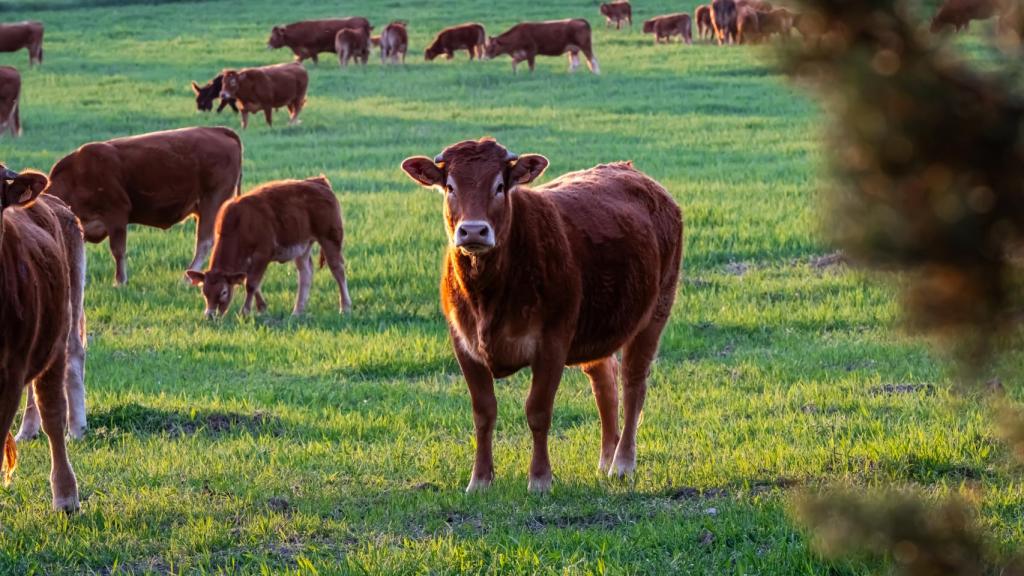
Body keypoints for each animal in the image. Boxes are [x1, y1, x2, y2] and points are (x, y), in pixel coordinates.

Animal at [44, 126, 243, 286]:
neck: (76, 178)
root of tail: (218, 130)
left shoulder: (117, 212)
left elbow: (118, 250)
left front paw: (120, 282)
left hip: (213, 201)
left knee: (205, 241)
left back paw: (188, 278)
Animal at [186, 176, 352, 318]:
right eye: (204, 292)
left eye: (224, 292)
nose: (210, 315)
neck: (241, 223)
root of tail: (319, 182)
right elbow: (251, 283)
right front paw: (262, 308)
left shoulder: (262, 255)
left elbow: (251, 284)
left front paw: (245, 312)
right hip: (303, 246)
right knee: (305, 273)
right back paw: (297, 311)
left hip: (330, 238)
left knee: (338, 270)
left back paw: (345, 307)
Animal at [400, 138, 683, 492]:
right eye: (450, 186)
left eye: (500, 186)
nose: (474, 231)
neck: (488, 294)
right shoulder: (464, 344)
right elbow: (483, 412)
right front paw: (479, 480)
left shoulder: (552, 342)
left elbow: (537, 411)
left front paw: (539, 479)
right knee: (605, 382)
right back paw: (606, 459)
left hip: (655, 312)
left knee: (633, 383)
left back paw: (622, 464)